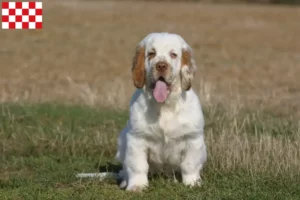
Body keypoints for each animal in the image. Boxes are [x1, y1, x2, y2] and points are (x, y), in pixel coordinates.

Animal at [116, 32, 207, 191]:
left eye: (173, 54)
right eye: (151, 53)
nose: (161, 65)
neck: (165, 106)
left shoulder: (193, 138)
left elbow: (189, 165)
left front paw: (192, 183)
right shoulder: (137, 138)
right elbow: (137, 165)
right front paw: (137, 186)